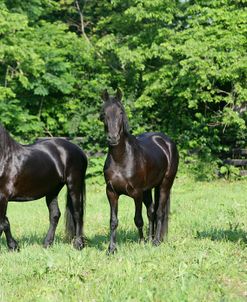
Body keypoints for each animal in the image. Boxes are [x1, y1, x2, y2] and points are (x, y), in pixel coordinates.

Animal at [100, 89, 179, 252]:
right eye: (104, 114)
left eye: (121, 112)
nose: (113, 138)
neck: (121, 159)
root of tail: (166, 142)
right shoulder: (111, 193)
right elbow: (113, 221)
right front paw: (111, 249)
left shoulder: (136, 193)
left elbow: (138, 219)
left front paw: (141, 243)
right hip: (148, 189)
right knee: (151, 212)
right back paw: (151, 238)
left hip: (165, 185)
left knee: (159, 212)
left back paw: (156, 241)